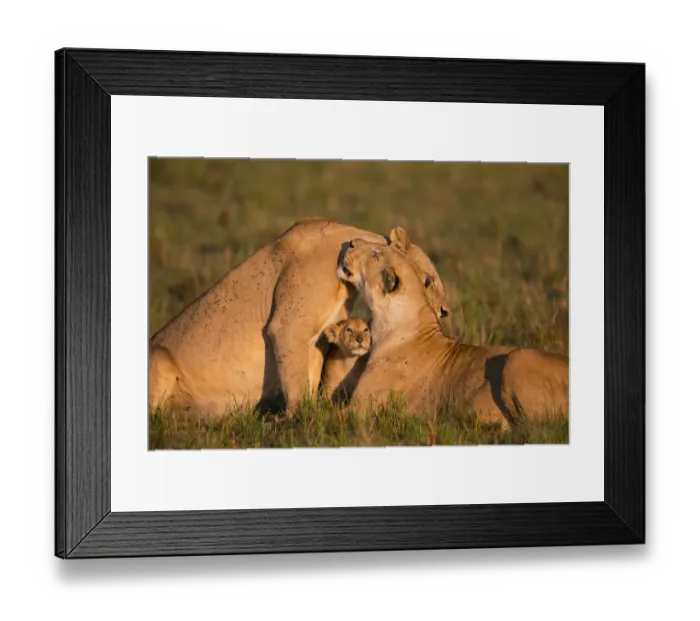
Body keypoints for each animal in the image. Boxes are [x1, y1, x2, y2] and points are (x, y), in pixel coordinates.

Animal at [148, 217, 449, 415]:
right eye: (429, 281)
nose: (445, 311)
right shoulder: (287, 326)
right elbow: (294, 379)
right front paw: (296, 420)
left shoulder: (317, 336)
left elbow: (310, 376)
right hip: (157, 358)